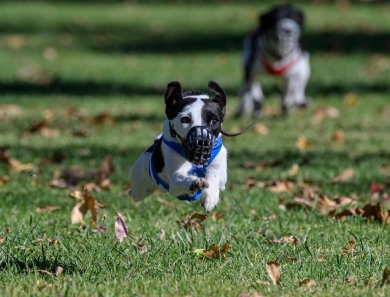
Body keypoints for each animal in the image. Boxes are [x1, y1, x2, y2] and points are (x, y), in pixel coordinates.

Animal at [129, 80, 230, 212]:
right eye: (185, 119)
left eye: (214, 121)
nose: (201, 141)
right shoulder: (175, 179)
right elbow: (181, 177)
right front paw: (194, 183)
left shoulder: (221, 173)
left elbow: (214, 173)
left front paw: (210, 197)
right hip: (139, 187)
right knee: (134, 193)